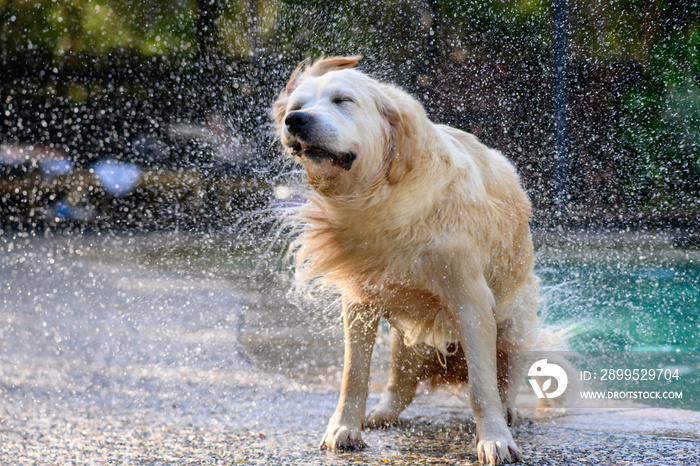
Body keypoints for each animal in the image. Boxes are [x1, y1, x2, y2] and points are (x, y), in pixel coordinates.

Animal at [270, 56, 540, 464]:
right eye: (299, 104)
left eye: (342, 100)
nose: (295, 119)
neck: (383, 196)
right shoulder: (360, 301)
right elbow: (354, 375)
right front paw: (344, 428)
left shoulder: (472, 301)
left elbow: (482, 387)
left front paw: (494, 439)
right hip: (406, 342)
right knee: (401, 386)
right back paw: (382, 413)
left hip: (514, 332)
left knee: (504, 381)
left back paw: (508, 413)